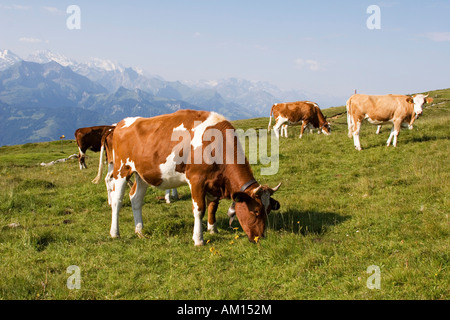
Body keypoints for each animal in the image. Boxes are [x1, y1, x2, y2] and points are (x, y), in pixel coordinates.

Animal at [95, 110, 282, 245]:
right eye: (255, 211)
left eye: (268, 210)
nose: (260, 237)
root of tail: (120, 124)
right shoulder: (196, 179)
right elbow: (199, 209)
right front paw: (198, 239)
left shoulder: (214, 182)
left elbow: (212, 206)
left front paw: (213, 229)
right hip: (121, 169)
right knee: (117, 200)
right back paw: (115, 233)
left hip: (142, 174)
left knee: (135, 199)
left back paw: (139, 230)